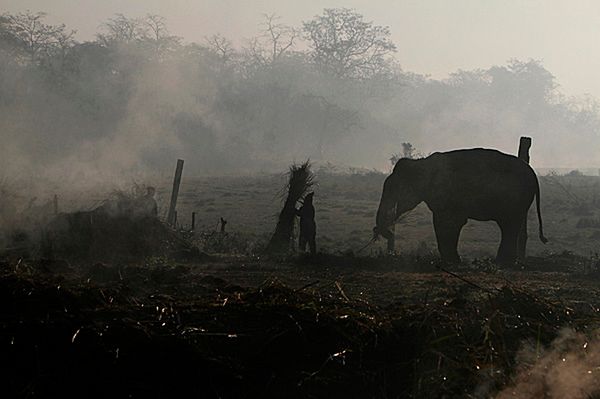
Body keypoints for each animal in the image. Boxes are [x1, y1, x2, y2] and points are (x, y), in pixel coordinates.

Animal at [376, 148, 548, 266]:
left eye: (393, 189)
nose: (385, 231)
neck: (420, 163)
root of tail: (533, 173)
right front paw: (453, 261)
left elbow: (448, 222)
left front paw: (452, 261)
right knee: (508, 227)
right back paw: (503, 261)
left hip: (517, 199)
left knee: (509, 225)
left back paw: (501, 262)